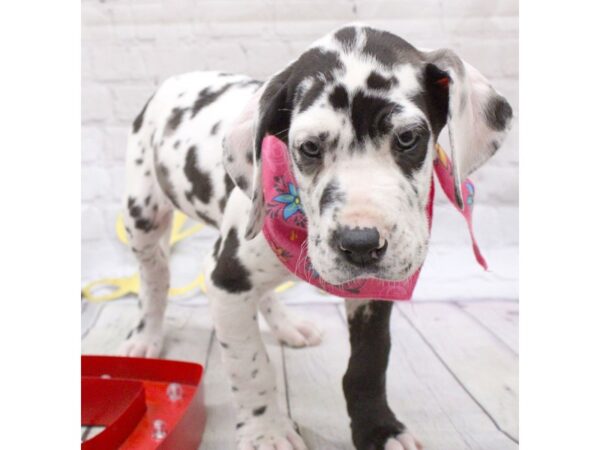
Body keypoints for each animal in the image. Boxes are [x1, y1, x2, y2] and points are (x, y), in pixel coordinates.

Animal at [119, 24, 512, 450]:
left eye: (408, 138)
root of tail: (177, 79)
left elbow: (369, 364)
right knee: (155, 276)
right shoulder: (225, 281)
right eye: (308, 147)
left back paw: (288, 325)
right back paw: (146, 335)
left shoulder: (373, 291)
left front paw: (379, 430)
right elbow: (250, 365)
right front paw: (267, 431)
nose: (360, 243)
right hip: (143, 214)